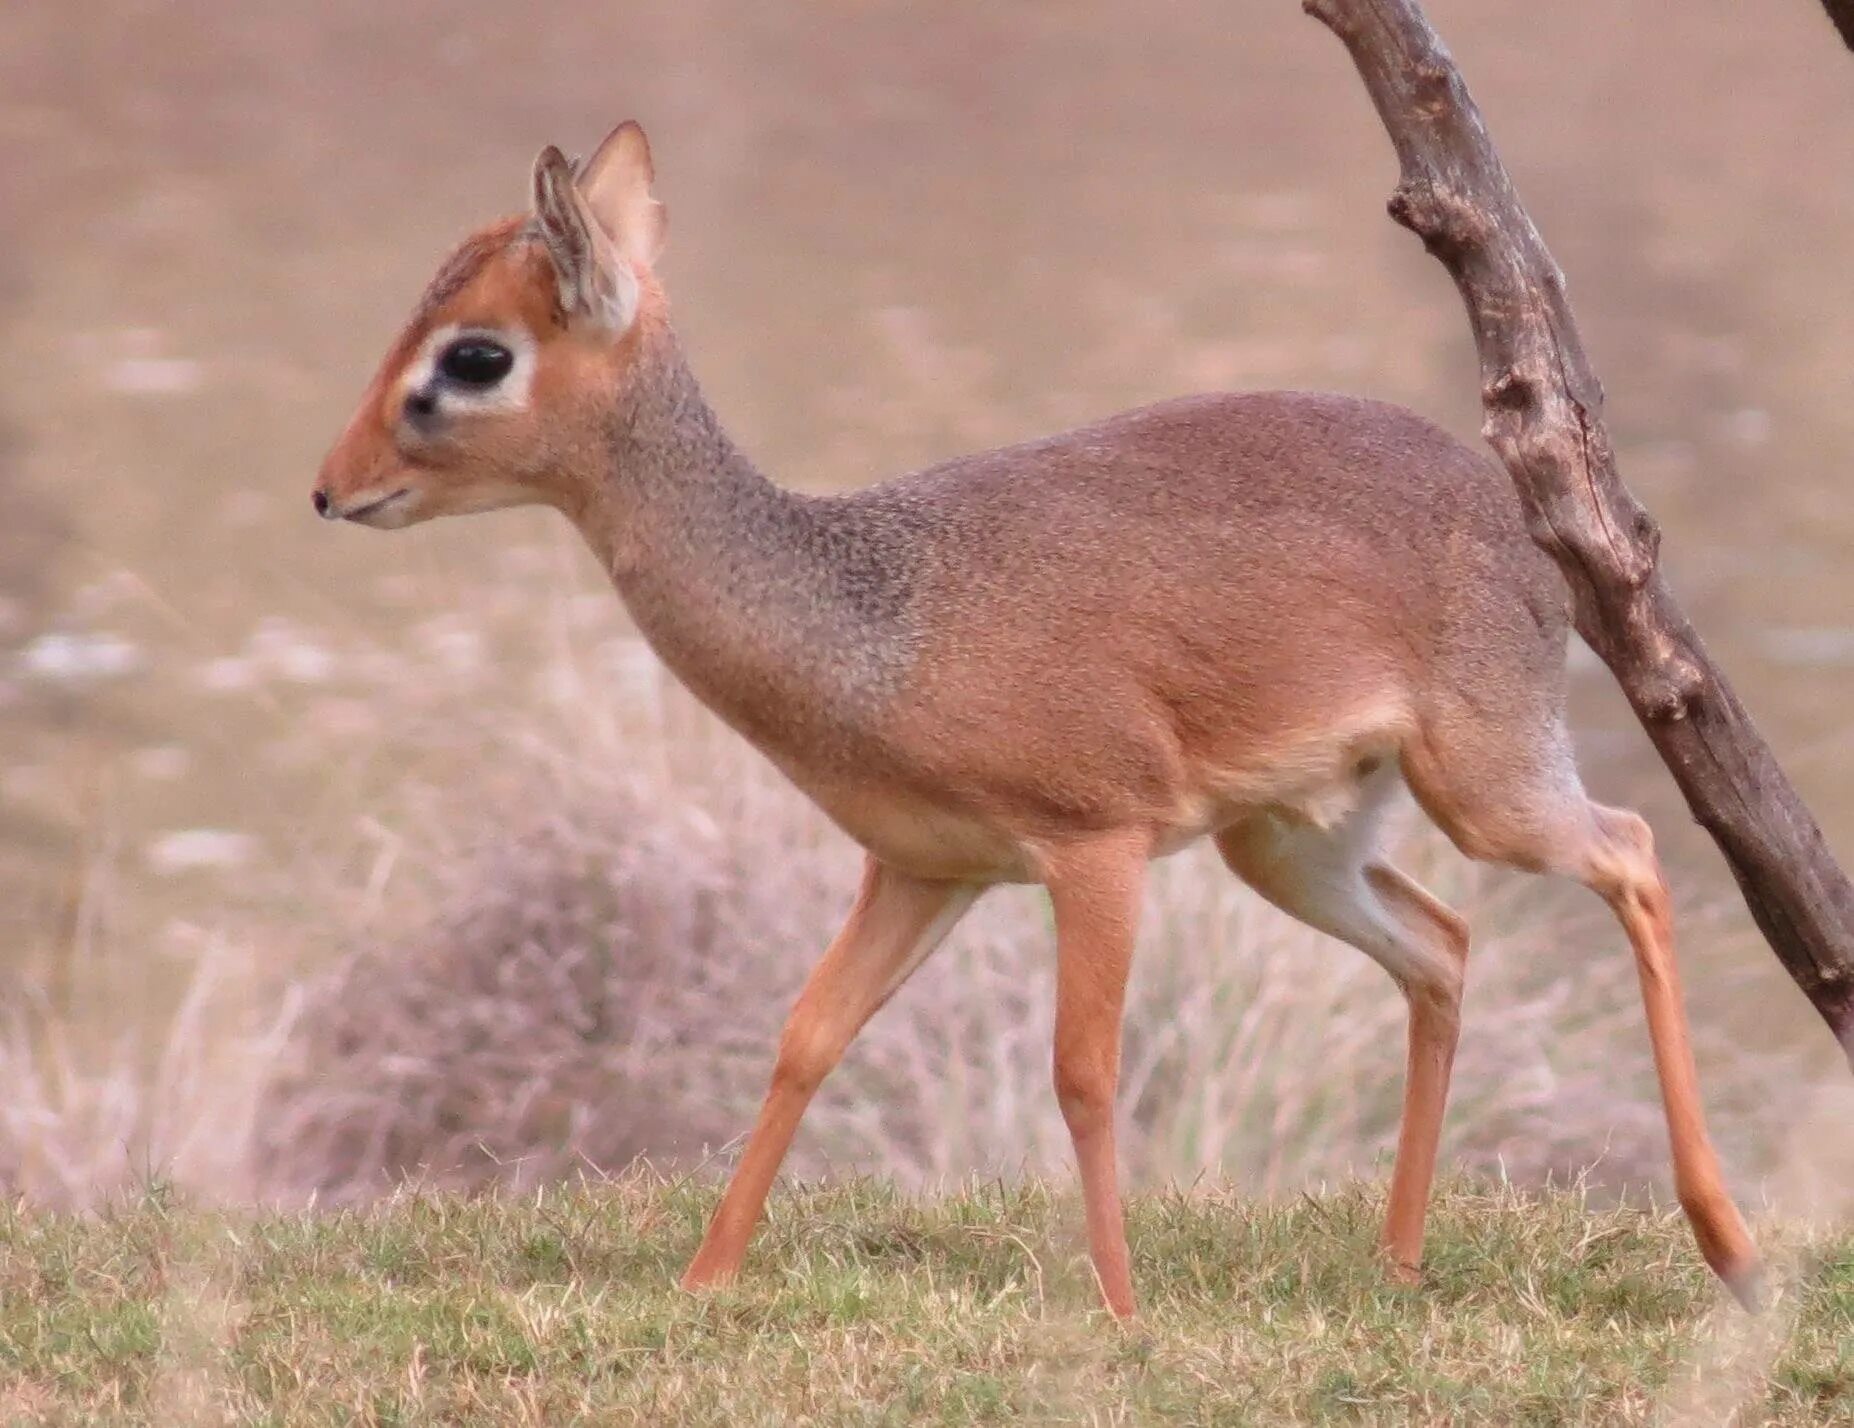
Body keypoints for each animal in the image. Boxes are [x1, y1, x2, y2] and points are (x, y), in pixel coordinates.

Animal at [318, 119, 1765, 1313]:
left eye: (476, 354)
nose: (332, 488)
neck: (869, 623)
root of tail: (1525, 520)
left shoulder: (1095, 845)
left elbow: (1081, 1072)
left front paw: (1120, 1313)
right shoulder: (922, 866)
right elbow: (806, 1038)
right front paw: (704, 1281)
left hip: (1486, 783)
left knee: (1634, 852)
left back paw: (1730, 1247)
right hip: (1290, 841)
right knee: (1445, 944)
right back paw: (1401, 1261)